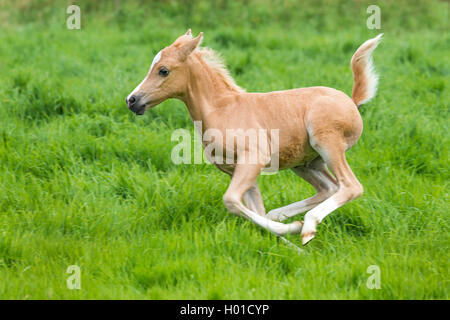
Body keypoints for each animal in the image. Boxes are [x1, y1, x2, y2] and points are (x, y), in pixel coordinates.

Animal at [126, 30, 384, 245]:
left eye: (163, 70)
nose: (132, 100)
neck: (221, 109)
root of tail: (352, 101)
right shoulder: (237, 170)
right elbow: (255, 211)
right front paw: (291, 240)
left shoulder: (253, 160)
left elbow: (231, 201)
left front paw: (293, 230)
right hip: (305, 163)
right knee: (329, 187)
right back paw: (287, 219)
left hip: (327, 144)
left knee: (351, 186)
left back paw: (308, 226)